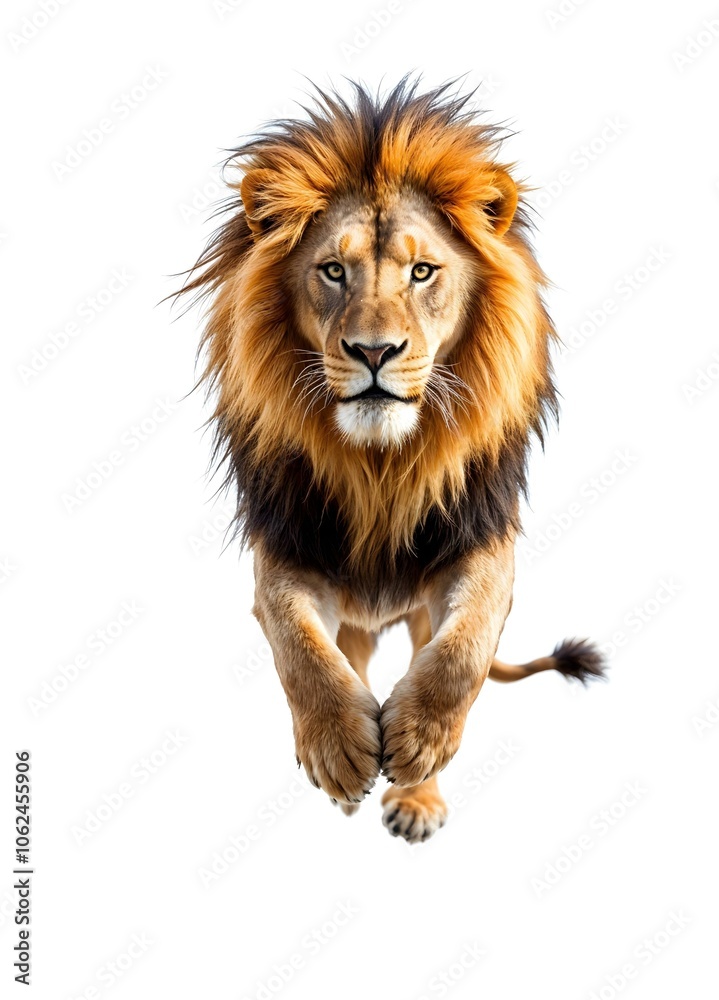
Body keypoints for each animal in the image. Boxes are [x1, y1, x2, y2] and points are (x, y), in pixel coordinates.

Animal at [176, 78, 605, 843]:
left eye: (422, 272)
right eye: (333, 271)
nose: (373, 352)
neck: (380, 467)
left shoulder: (480, 544)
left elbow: (463, 651)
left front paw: (419, 744)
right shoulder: (286, 550)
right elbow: (298, 646)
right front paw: (340, 747)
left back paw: (414, 794)